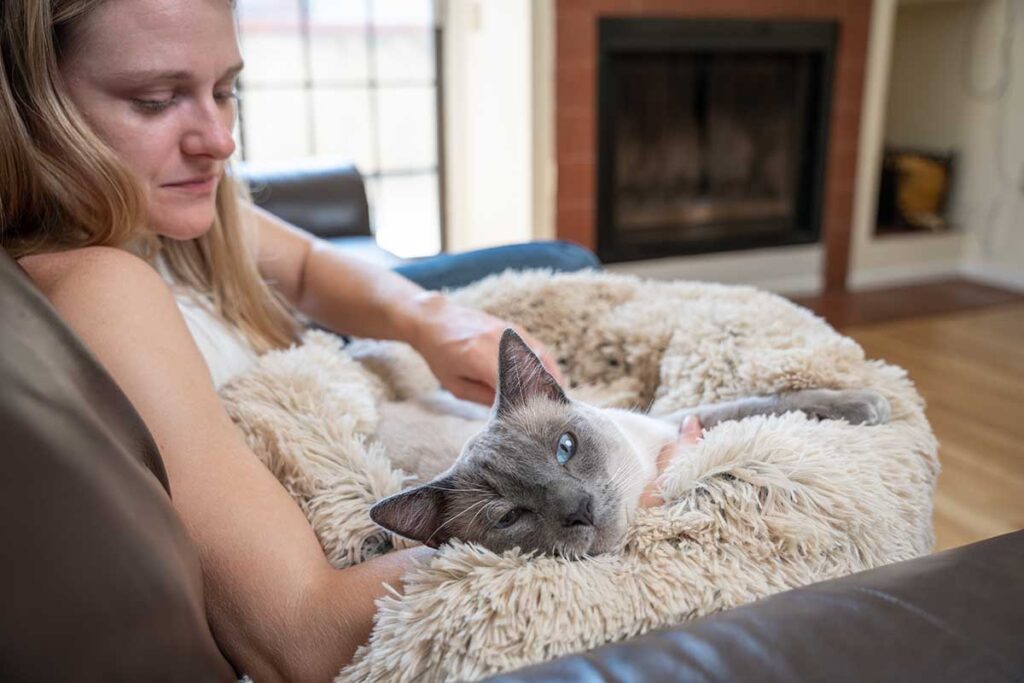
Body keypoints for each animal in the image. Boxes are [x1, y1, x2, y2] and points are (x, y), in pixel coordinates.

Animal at [370, 327, 888, 557]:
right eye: (509, 517)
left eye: (565, 448)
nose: (578, 509)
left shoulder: (679, 422)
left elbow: (761, 404)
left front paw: (863, 405)